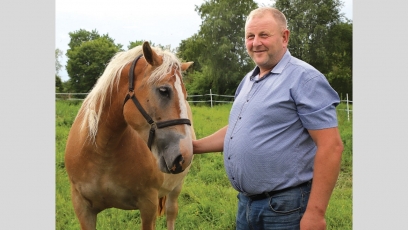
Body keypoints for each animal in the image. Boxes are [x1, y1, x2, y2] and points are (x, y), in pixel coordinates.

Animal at [64, 41, 195, 230]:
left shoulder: (149, 205)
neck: (101, 150)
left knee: (171, 213)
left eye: (185, 96)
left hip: (176, 188)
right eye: (164, 90)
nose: (184, 155)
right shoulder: (82, 207)